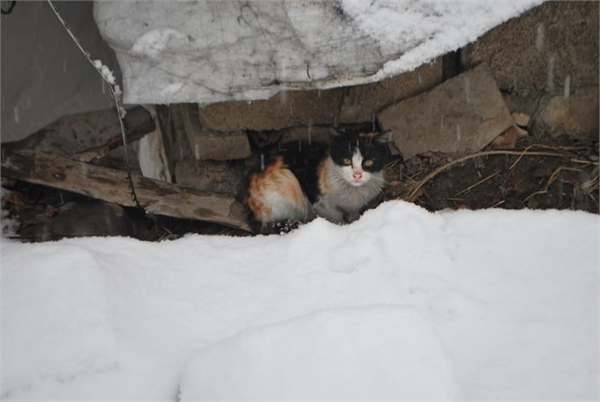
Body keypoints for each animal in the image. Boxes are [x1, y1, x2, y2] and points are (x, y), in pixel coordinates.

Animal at [245, 129, 390, 232]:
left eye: (369, 161)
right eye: (347, 160)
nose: (357, 175)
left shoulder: (354, 208)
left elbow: (353, 216)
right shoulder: (320, 203)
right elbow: (335, 218)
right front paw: (343, 229)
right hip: (288, 183)